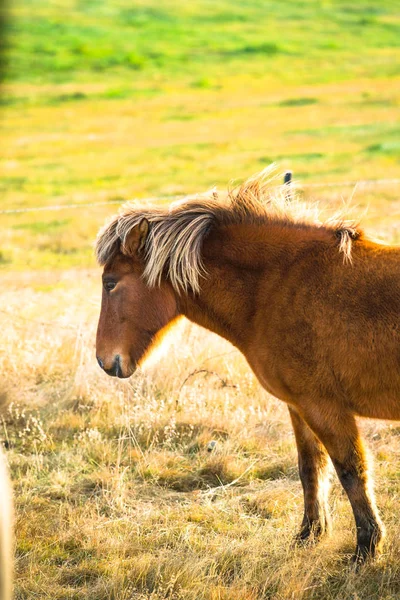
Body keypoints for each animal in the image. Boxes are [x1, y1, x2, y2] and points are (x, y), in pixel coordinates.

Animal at [95, 170, 400, 564]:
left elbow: (351, 471)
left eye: (110, 283)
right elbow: (310, 467)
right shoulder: (300, 407)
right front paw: (309, 535)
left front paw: (366, 548)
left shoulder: (325, 407)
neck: (277, 288)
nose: (104, 360)